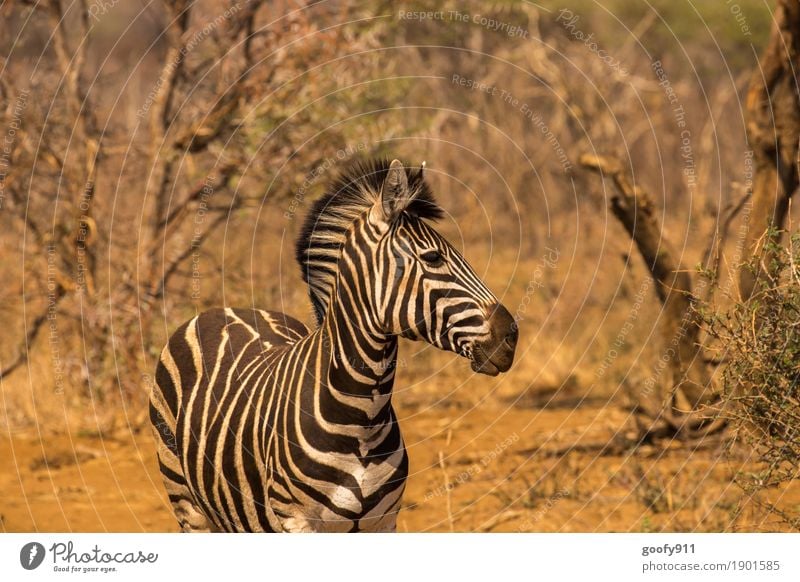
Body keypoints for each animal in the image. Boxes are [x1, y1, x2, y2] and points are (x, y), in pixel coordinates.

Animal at [149, 160, 520, 532]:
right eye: (432, 258)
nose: (512, 335)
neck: (362, 418)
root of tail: (220, 309)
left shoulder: (383, 521)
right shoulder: (296, 521)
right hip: (185, 498)